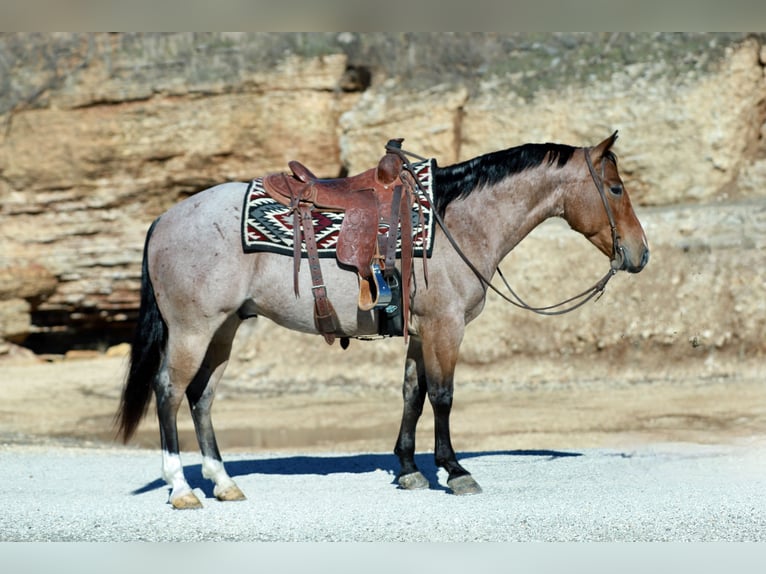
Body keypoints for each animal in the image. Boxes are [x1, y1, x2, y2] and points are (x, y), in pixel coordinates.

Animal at [117, 131, 649, 509]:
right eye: (616, 188)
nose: (640, 254)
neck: (455, 223)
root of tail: (164, 219)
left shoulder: (419, 330)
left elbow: (412, 393)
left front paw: (409, 469)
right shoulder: (445, 327)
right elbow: (442, 396)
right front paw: (455, 471)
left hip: (224, 329)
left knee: (201, 395)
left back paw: (223, 483)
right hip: (193, 329)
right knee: (169, 390)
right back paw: (182, 488)